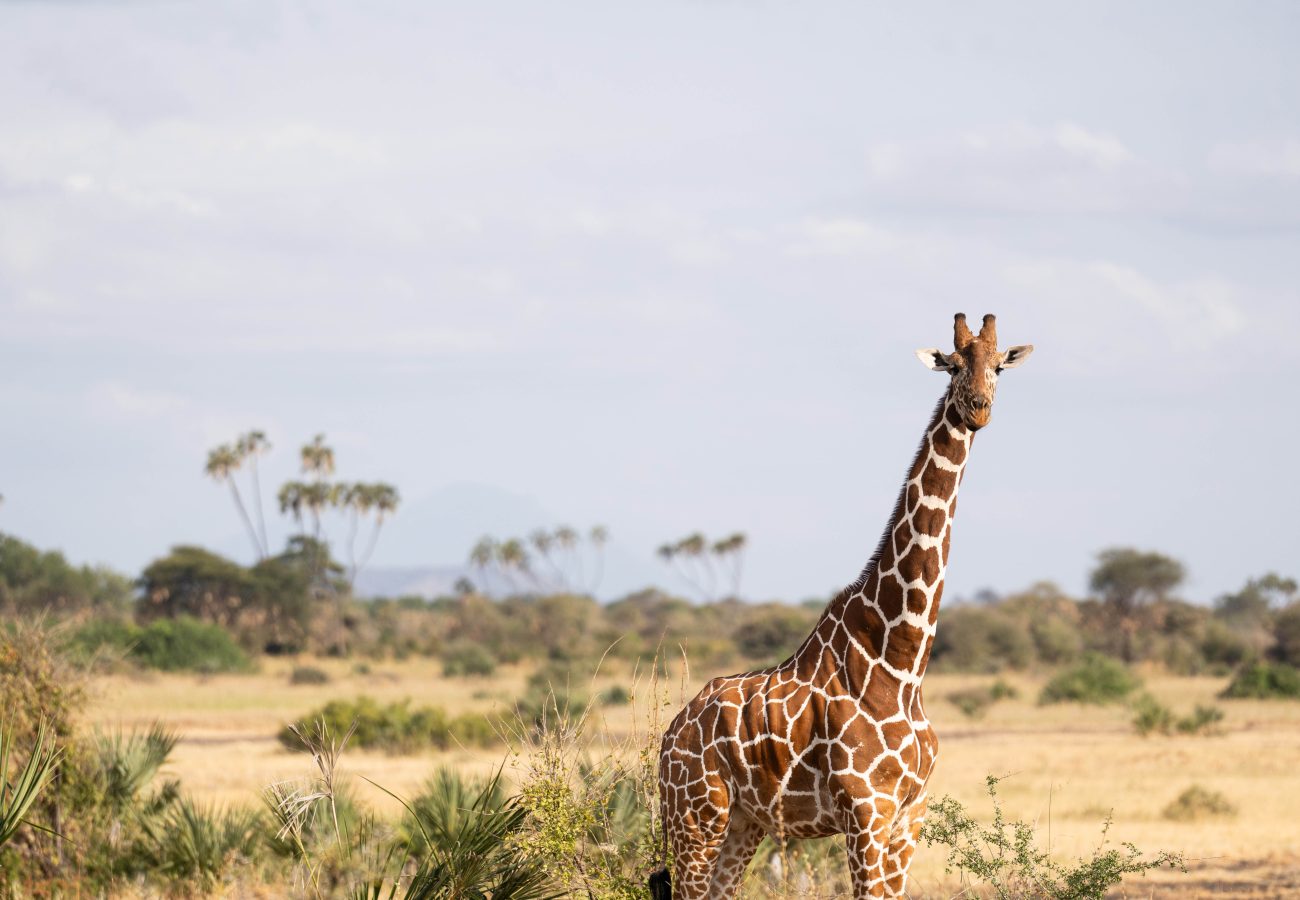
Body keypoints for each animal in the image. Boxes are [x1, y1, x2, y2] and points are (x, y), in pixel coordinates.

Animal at [655, 313, 1029, 894]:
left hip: (743, 822)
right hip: (696, 818)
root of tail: (669, 738)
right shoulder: (865, 814)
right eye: (952, 364)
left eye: (998, 367)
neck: (903, 663)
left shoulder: (908, 816)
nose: (977, 408)